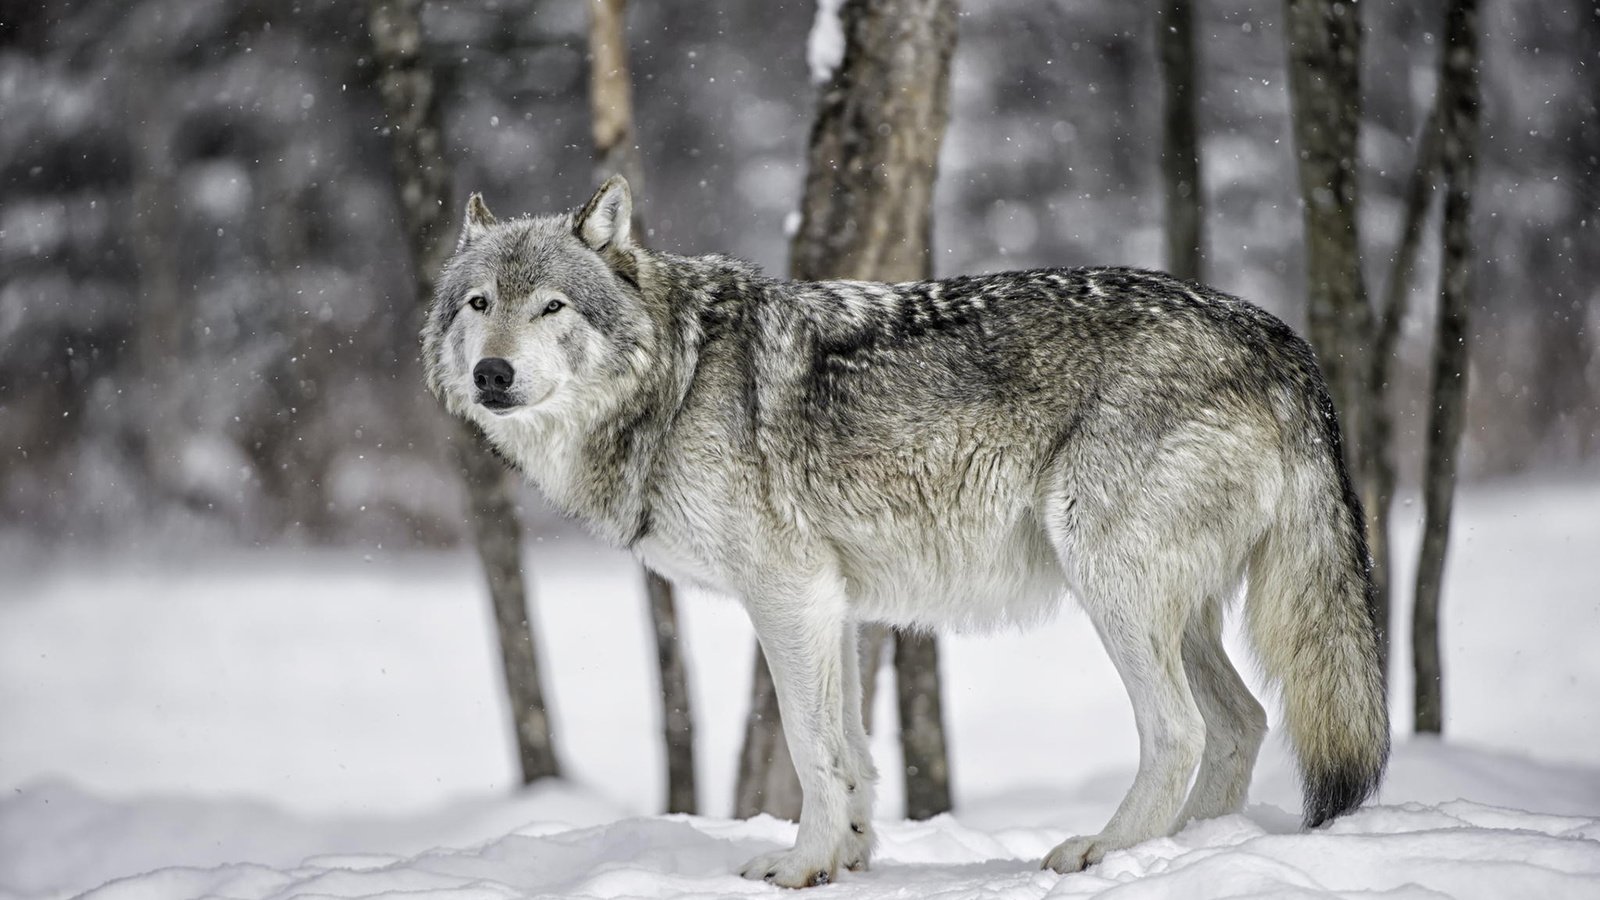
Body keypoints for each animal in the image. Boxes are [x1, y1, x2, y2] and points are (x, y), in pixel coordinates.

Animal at [422, 175, 1388, 883]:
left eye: (551, 307)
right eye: (479, 304)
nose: (492, 374)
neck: (678, 378)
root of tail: (1284, 341)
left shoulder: (787, 596)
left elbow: (811, 748)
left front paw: (800, 867)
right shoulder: (833, 606)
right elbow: (851, 751)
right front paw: (846, 860)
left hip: (1111, 586)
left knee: (1181, 730)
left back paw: (1107, 854)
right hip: (1172, 610)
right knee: (1243, 723)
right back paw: (1188, 854)